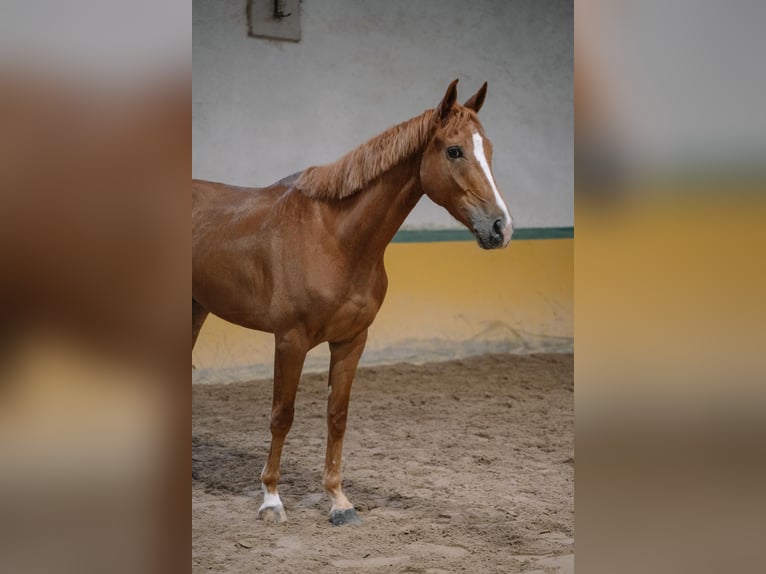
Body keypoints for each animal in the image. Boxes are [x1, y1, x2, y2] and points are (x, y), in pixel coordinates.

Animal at [192, 79, 516, 528]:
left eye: (489, 148)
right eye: (454, 151)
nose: (501, 228)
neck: (335, 239)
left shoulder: (351, 341)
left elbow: (337, 416)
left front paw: (339, 501)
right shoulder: (289, 341)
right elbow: (282, 415)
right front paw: (271, 499)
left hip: (196, 307)